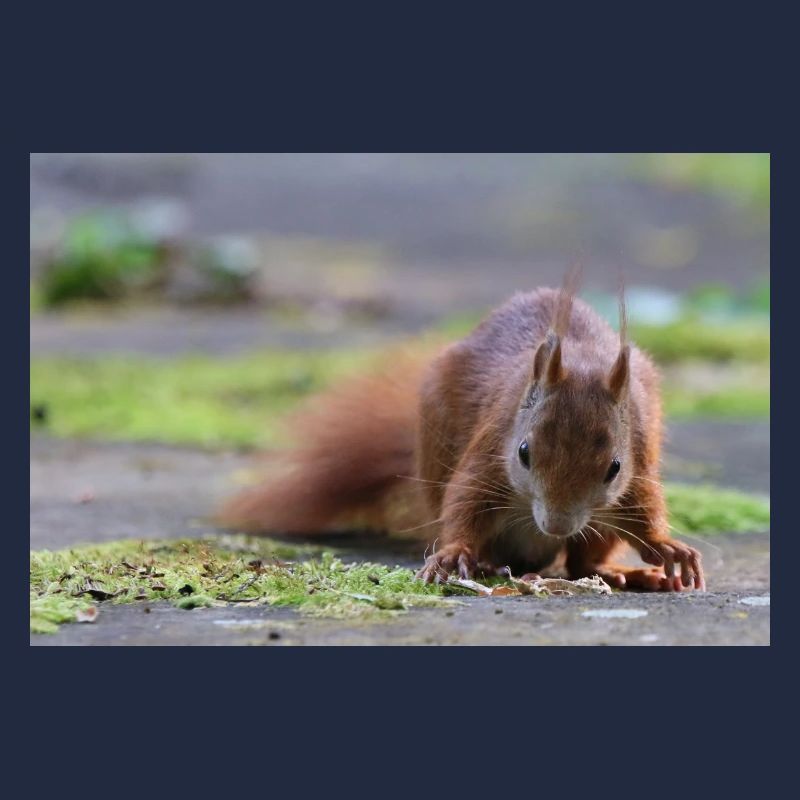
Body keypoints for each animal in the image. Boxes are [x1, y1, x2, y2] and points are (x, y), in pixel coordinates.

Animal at [220, 279, 705, 592]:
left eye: (614, 468)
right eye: (524, 452)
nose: (557, 524)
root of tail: (535, 550)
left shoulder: (638, 458)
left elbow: (643, 508)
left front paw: (666, 548)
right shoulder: (491, 451)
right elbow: (464, 502)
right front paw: (454, 554)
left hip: (598, 523)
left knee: (584, 559)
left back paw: (622, 573)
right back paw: (490, 561)